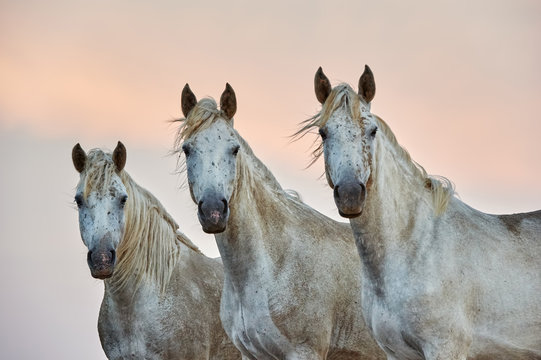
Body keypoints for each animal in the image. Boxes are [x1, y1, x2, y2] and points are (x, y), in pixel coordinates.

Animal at [296, 65, 540, 360]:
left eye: (373, 131)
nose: (351, 196)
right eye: (323, 133)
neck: (416, 247)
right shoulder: (396, 352)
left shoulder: (444, 348)